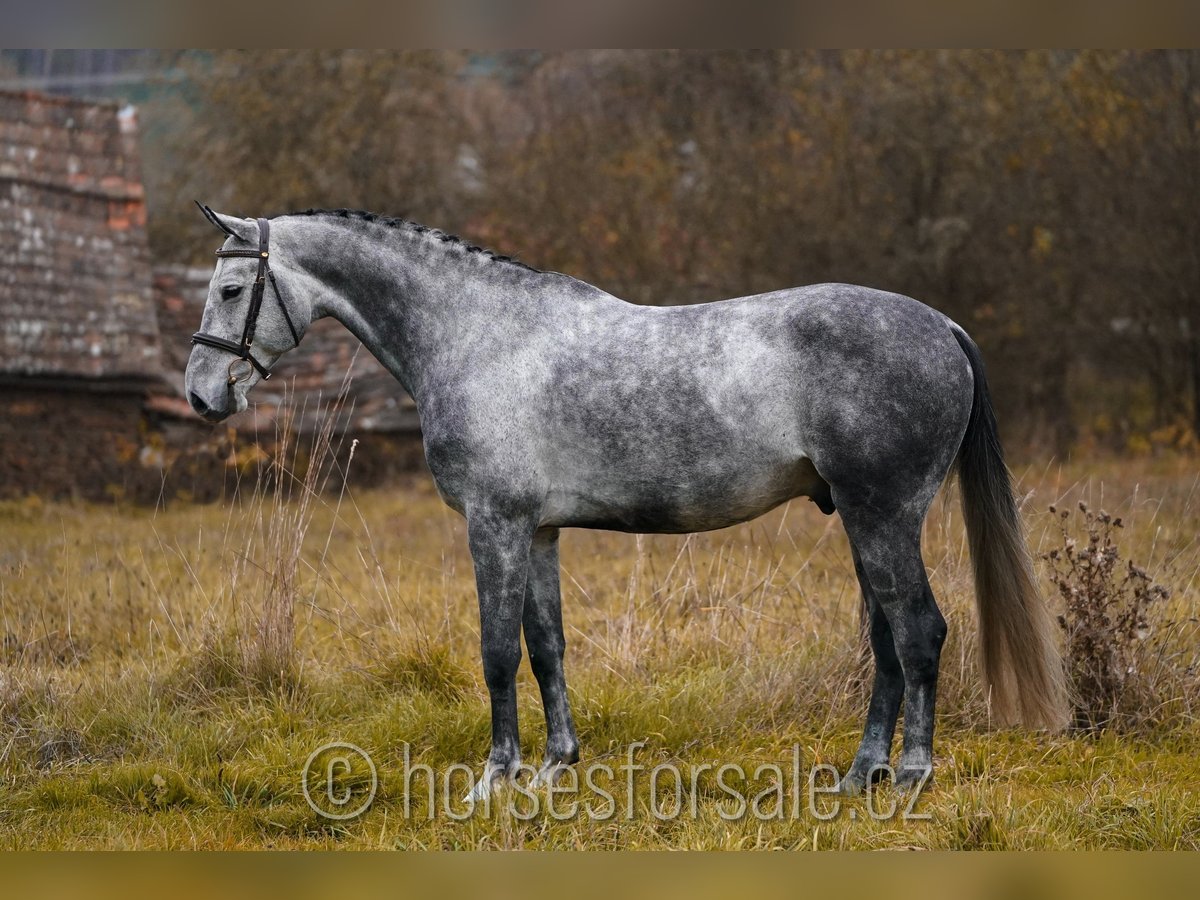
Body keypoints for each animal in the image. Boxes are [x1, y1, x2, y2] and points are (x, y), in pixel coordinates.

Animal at [182, 206, 1065, 801]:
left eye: (231, 287)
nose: (200, 396)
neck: (479, 337)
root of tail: (941, 326)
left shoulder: (495, 525)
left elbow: (496, 652)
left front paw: (494, 779)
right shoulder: (538, 531)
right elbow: (546, 647)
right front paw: (553, 767)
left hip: (884, 515)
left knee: (920, 632)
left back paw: (910, 772)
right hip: (861, 519)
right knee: (886, 639)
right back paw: (860, 774)